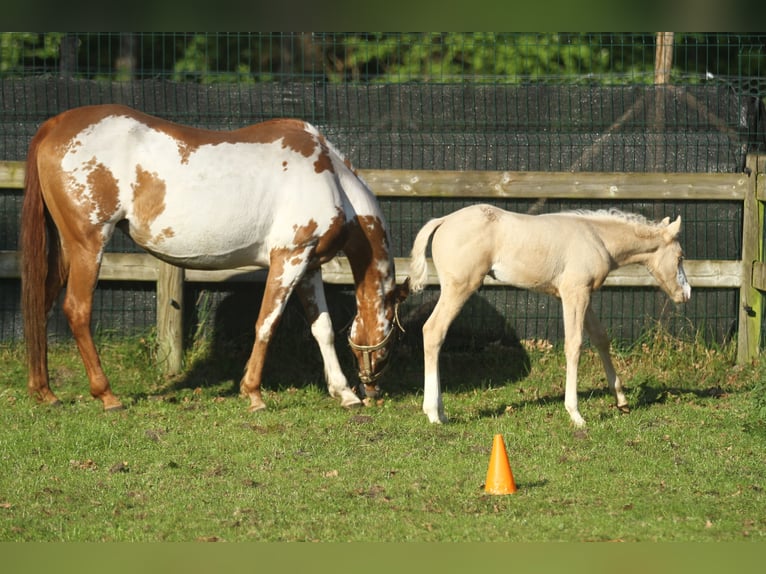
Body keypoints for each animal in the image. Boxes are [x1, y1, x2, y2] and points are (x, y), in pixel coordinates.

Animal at [19, 104, 408, 414]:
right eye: (393, 337)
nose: (372, 389)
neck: (332, 179)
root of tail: (56, 123)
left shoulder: (308, 265)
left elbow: (322, 329)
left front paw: (343, 393)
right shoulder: (289, 258)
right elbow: (266, 324)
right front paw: (253, 394)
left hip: (68, 248)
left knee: (42, 304)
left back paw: (44, 392)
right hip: (89, 244)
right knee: (77, 310)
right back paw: (107, 395)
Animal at [412, 206, 692, 428]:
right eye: (680, 257)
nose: (686, 294)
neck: (597, 238)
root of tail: (443, 220)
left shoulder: (578, 295)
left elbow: (600, 338)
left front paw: (621, 400)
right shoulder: (574, 293)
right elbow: (574, 345)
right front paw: (575, 413)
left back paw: (440, 412)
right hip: (460, 287)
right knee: (433, 331)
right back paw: (434, 414)